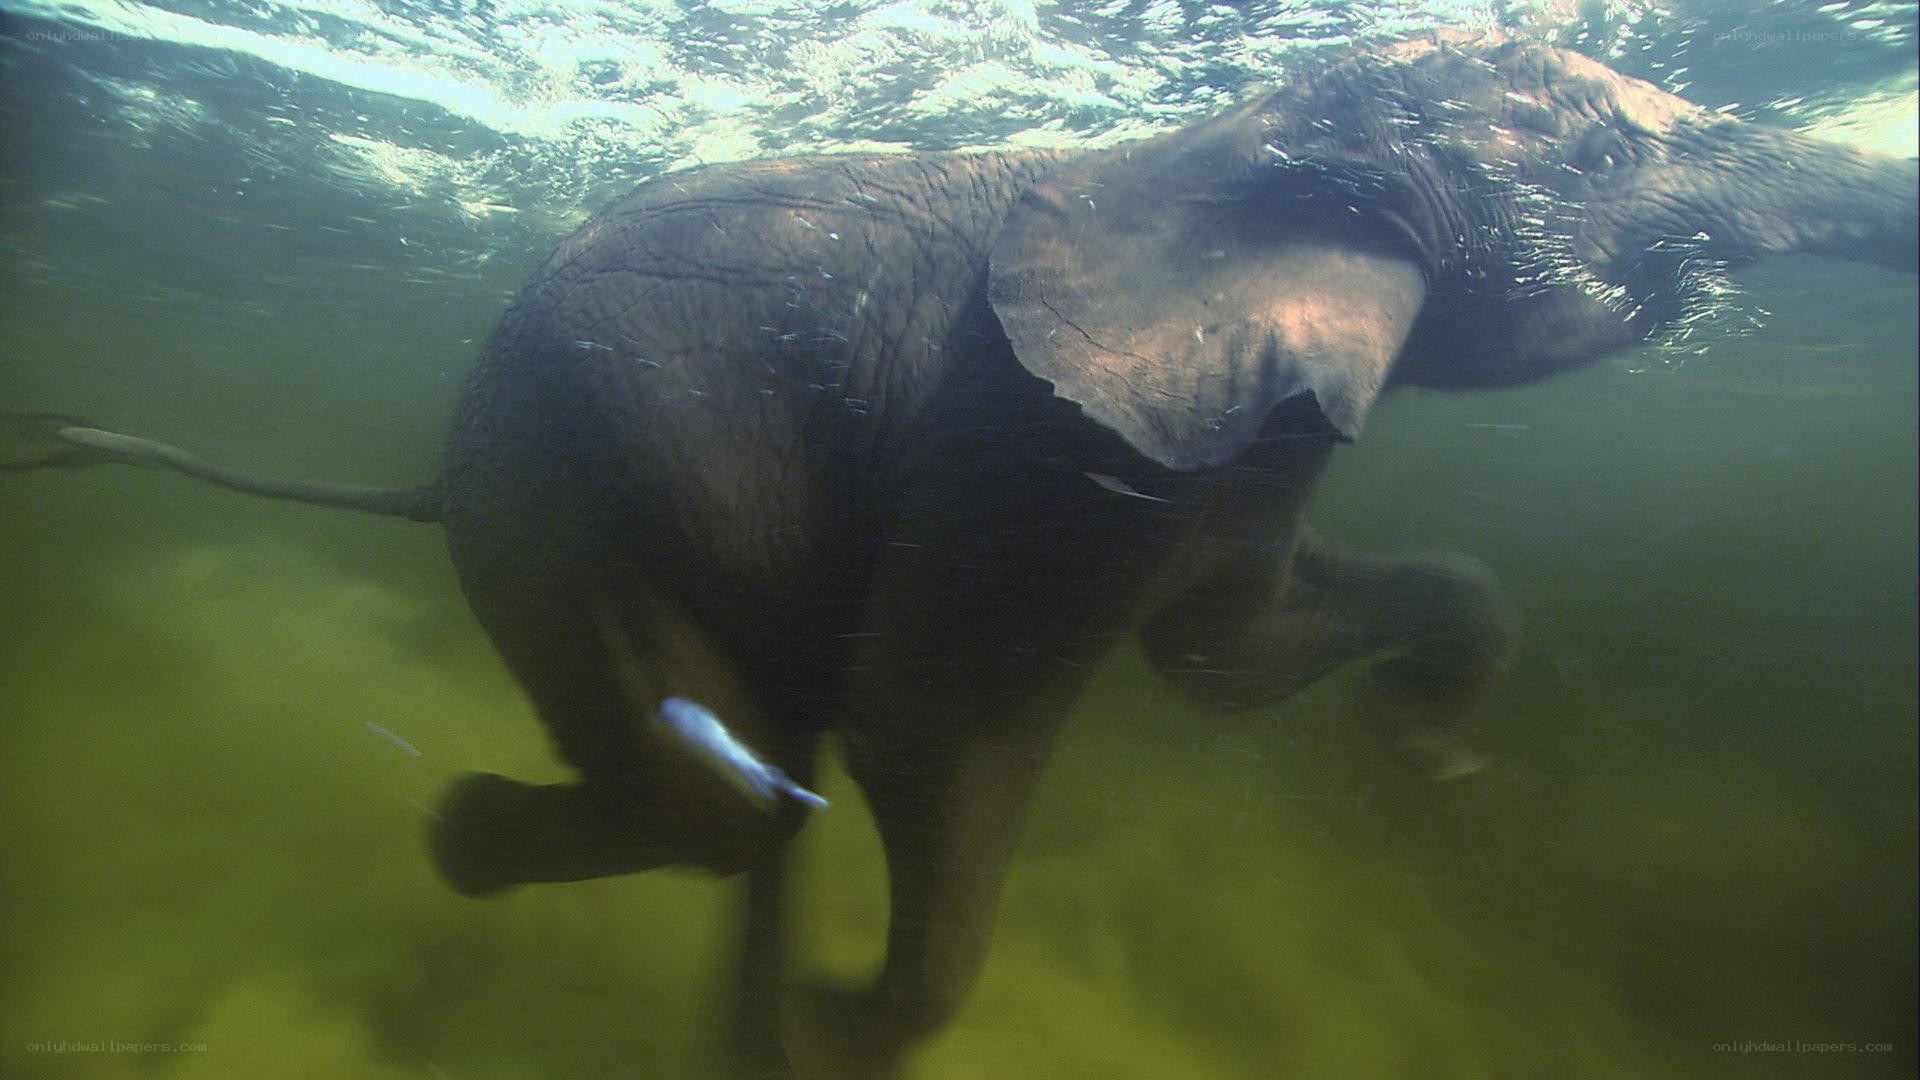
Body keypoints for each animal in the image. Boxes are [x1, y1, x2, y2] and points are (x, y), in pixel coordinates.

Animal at [4, 28, 1914, 1079]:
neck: (1212, 151)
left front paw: (1432, 755)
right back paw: (487, 854)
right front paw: (849, 1033)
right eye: (1603, 149)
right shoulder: (1022, 445)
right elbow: (937, 724)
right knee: (722, 788)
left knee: (755, 775)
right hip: (560, 506)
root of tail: (428, 481)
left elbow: (1220, 666)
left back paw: (726, 1035)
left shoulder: (1226, 434)